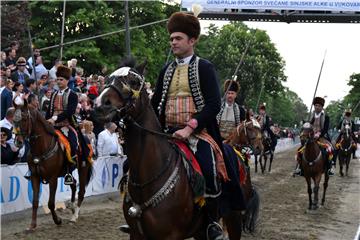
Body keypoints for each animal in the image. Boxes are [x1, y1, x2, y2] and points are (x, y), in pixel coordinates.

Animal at [13, 101, 93, 231]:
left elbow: (51, 203)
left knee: (81, 191)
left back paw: (74, 217)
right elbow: (35, 202)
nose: (18, 142)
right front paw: (32, 225)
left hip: (83, 168)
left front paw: (58, 220)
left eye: (24, 119)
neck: (41, 147)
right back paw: (72, 207)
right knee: (73, 184)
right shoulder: (35, 177)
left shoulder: (53, 178)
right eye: (14, 120)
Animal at [94, 62, 260, 239]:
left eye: (133, 82)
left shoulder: (170, 235)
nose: (100, 105)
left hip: (234, 216)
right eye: (108, 79)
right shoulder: (137, 234)